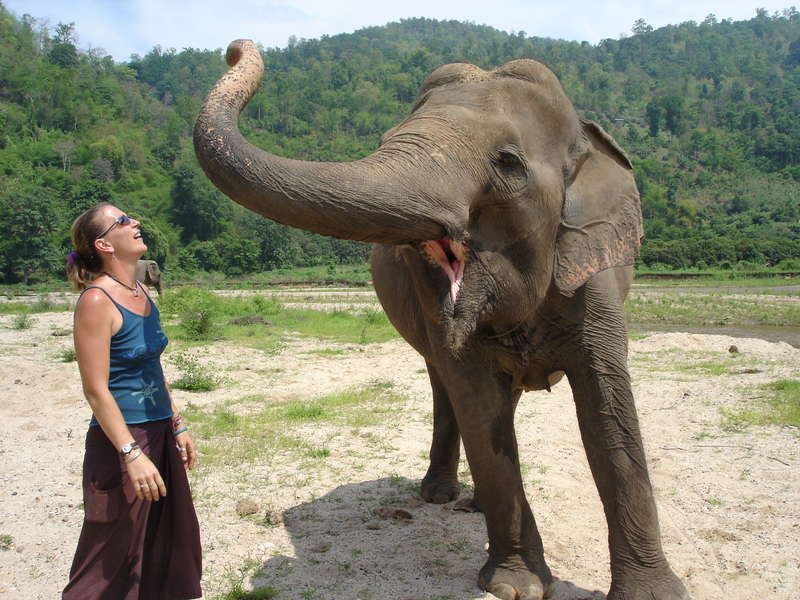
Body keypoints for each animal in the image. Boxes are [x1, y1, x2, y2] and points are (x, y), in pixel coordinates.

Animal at [194, 40, 689, 600]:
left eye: (507, 162)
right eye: (385, 141)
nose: (235, 50)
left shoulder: (591, 274)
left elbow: (608, 409)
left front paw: (653, 594)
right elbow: (477, 401)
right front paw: (515, 587)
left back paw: (471, 503)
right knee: (447, 386)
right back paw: (440, 496)